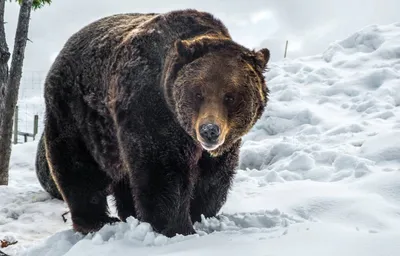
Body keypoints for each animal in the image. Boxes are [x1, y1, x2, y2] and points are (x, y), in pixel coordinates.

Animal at [36, 9, 268, 238]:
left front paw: (200, 214)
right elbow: (163, 171)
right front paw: (176, 227)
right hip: (77, 115)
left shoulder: (221, 145)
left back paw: (130, 214)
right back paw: (97, 220)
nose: (209, 130)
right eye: (198, 93)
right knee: (78, 166)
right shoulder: (151, 112)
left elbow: (214, 176)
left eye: (230, 96)